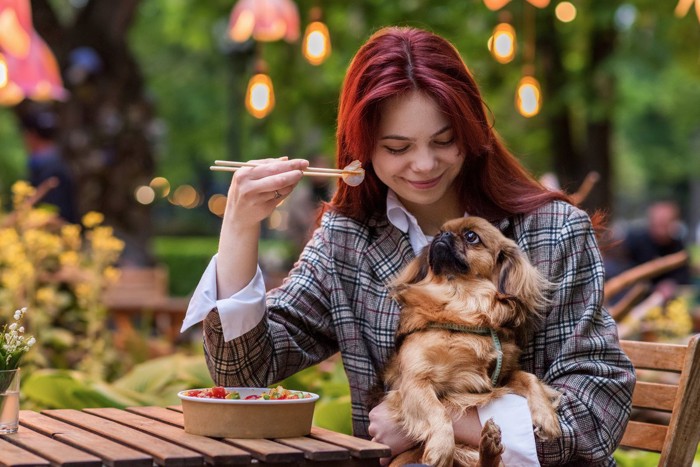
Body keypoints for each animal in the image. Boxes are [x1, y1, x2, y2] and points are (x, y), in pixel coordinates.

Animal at [380, 218, 560, 466]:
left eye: (471, 236)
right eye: (439, 232)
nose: (443, 235)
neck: (462, 304)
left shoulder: (502, 377)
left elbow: (530, 378)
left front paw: (547, 417)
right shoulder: (415, 380)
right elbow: (438, 412)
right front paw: (441, 447)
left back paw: (490, 445)